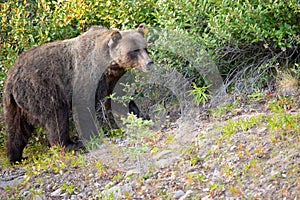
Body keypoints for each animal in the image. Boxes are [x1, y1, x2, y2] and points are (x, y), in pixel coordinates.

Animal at [2, 24, 152, 163]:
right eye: (135, 50)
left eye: (145, 48)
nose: (149, 62)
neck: (108, 65)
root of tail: (12, 76)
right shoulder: (87, 76)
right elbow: (85, 106)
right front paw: (94, 134)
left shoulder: (113, 79)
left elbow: (120, 99)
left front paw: (139, 115)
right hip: (42, 89)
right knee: (56, 117)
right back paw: (70, 144)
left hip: (14, 103)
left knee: (16, 127)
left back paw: (15, 156)